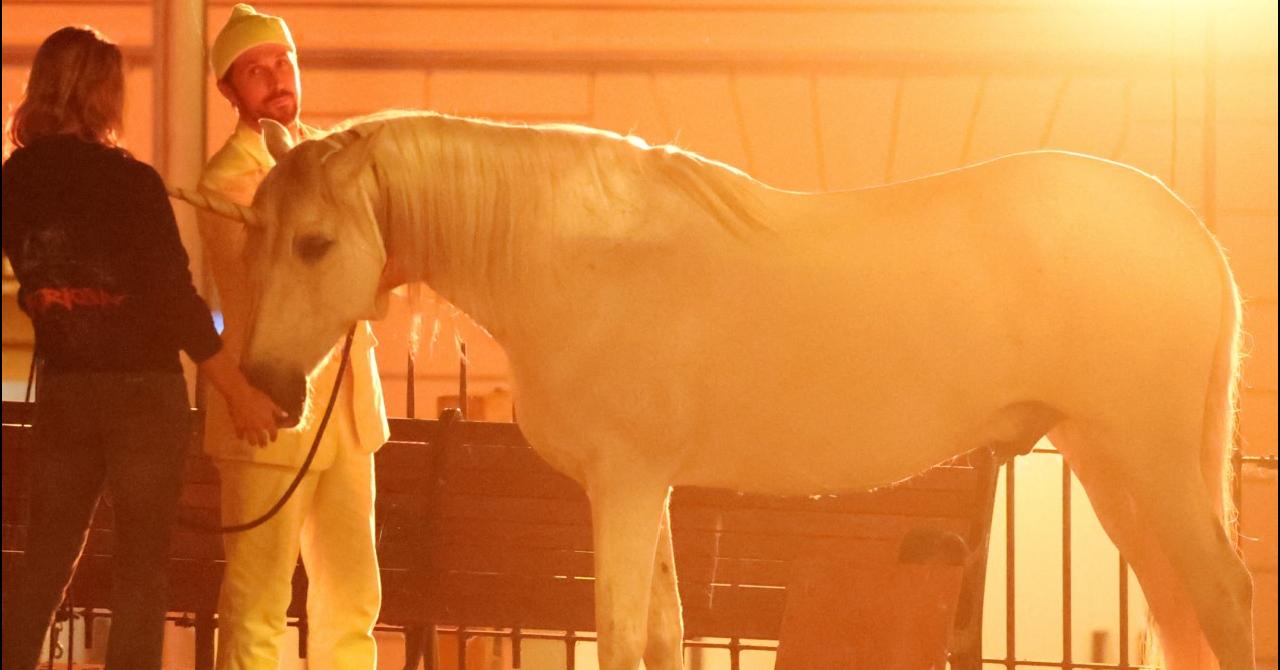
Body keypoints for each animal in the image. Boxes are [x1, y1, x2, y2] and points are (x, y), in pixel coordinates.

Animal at [170, 111, 1249, 670]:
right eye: (252, 238)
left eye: (315, 243)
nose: (263, 387)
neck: (578, 256)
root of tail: (1189, 231)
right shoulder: (648, 491)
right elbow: (661, 635)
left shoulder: (624, 487)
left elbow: (620, 636)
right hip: (1110, 465)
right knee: (1181, 608)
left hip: (1146, 461)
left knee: (1221, 597)